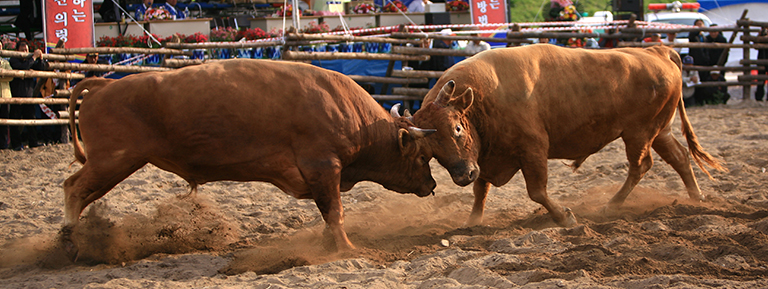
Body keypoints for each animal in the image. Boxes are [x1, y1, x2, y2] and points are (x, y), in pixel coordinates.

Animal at [412, 44, 724, 225]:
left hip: (639, 133)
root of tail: (657, 51)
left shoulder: (533, 149)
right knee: (679, 157)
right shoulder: (484, 157)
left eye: (457, 128)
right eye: (431, 150)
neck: (485, 96)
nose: (462, 175)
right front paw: (473, 222)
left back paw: (611, 205)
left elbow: (537, 191)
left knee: (641, 165)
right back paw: (696, 198)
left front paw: (564, 216)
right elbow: (481, 190)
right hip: (660, 130)